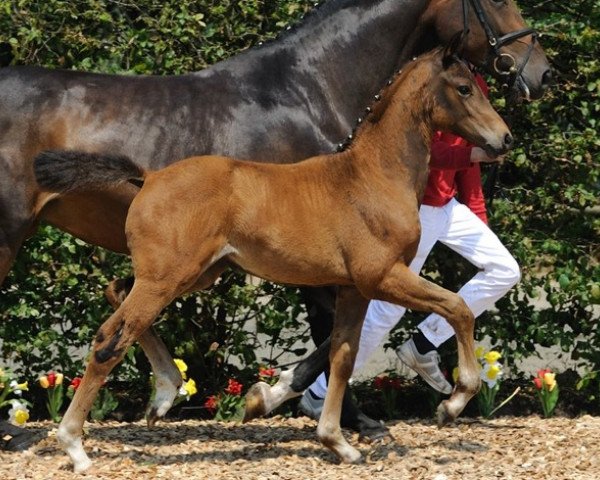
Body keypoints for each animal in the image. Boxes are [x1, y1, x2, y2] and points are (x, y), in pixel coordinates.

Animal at [3, 0, 548, 436]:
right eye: (499, 0)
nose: (540, 72)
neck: (305, 90)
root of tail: (147, 176)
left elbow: (343, 335)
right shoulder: (331, 262)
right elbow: (334, 333)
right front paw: (300, 405)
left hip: (193, 269)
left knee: (119, 298)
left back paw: (162, 393)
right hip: (18, 236)